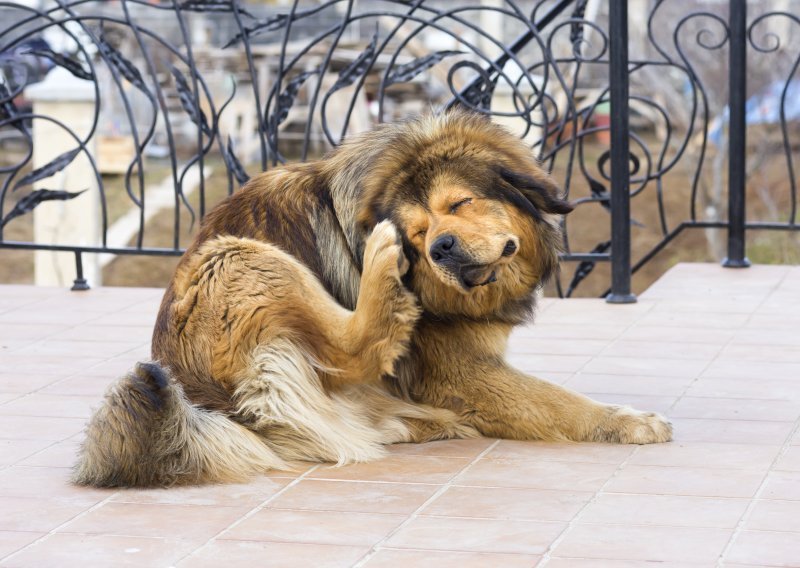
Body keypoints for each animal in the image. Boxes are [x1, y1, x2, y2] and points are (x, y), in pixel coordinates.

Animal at [75, 110, 672, 488]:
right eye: (418, 232)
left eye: (459, 203)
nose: (439, 248)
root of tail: (200, 402)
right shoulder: (461, 371)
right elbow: (559, 401)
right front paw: (629, 422)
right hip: (238, 257)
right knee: (352, 349)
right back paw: (382, 276)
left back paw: (418, 421)